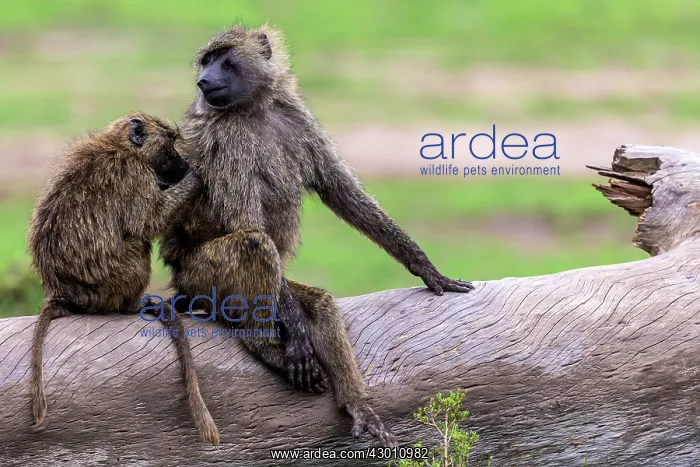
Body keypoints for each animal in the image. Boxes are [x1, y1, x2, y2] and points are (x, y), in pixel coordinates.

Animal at [27, 113, 220, 446]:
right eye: (170, 145)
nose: (182, 163)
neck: (123, 148)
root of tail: (66, 294)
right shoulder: (136, 176)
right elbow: (148, 223)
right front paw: (195, 178)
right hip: (114, 281)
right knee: (138, 243)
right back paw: (132, 306)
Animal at [159, 24, 474, 447]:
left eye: (224, 59)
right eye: (207, 60)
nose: (203, 81)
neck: (255, 108)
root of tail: (179, 279)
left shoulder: (299, 120)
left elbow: (341, 191)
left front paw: (426, 268)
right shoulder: (230, 144)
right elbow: (246, 221)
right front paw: (298, 341)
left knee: (320, 303)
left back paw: (357, 404)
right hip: (200, 275)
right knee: (255, 246)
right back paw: (267, 346)